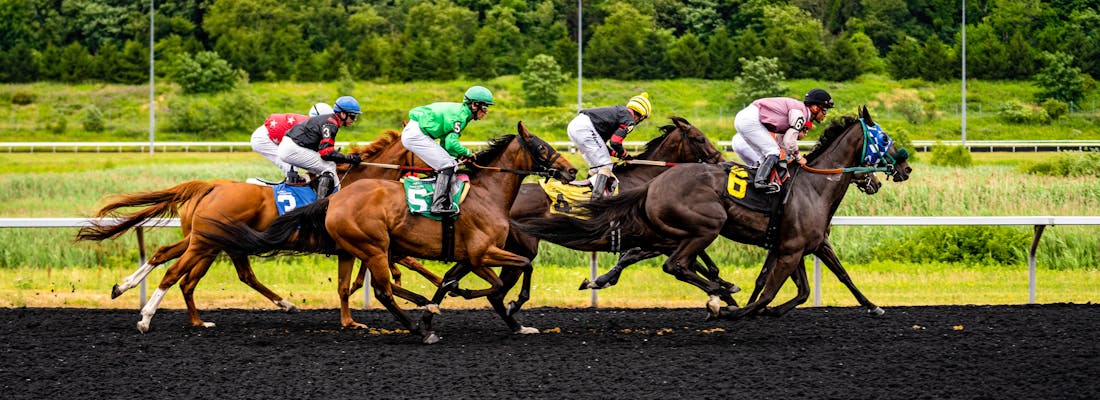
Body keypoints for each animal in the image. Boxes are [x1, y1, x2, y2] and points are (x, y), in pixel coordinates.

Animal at [76, 130, 442, 331]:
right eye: (423, 151)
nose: (444, 167)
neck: (358, 182)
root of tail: (209, 185)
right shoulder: (363, 244)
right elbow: (399, 267)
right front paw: (432, 292)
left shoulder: (357, 247)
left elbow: (351, 283)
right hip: (205, 243)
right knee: (176, 274)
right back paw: (146, 316)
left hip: (203, 240)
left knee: (170, 260)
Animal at [203, 122, 576, 342]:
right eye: (542, 148)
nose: (571, 170)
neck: (488, 193)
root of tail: (335, 199)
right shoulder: (482, 252)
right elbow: (511, 276)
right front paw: (490, 304)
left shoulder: (469, 255)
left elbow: (453, 282)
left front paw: (510, 320)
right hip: (373, 246)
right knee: (383, 290)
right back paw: (415, 329)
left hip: (368, 248)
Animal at [514, 106, 910, 318]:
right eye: (886, 139)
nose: (903, 169)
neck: (814, 186)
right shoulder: (789, 246)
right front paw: (734, 299)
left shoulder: (803, 244)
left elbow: (836, 277)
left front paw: (873, 306)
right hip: (709, 223)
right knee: (677, 264)